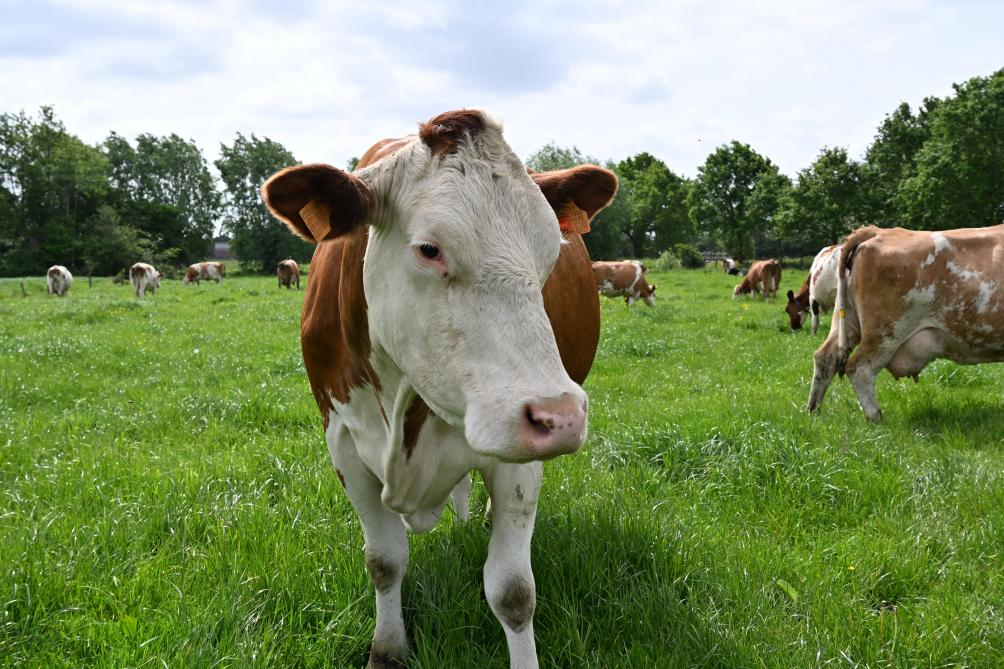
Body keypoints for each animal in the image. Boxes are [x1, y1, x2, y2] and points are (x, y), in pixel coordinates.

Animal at [261, 110, 617, 669]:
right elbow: (384, 560)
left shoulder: (518, 458)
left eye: (550, 252)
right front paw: (387, 648)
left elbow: (513, 591)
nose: (560, 416)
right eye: (429, 249)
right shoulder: (342, 443)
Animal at [808, 225, 1004, 422]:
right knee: (860, 369)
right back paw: (875, 417)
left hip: (847, 320)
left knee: (825, 357)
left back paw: (814, 410)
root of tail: (877, 231)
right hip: (886, 332)